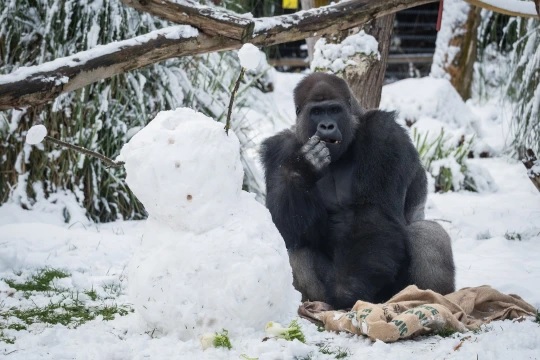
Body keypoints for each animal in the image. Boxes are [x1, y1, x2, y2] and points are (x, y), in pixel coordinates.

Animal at [260, 73, 454, 310]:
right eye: (316, 112)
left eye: (334, 110)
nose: (326, 125)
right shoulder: (279, 148)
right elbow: (283, 225)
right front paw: (302, 168)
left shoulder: (383, 132)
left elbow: (371, 211)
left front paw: (347, 291)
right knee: (297, 244)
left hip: (388, 295)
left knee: (426, 232)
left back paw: (430, 299)